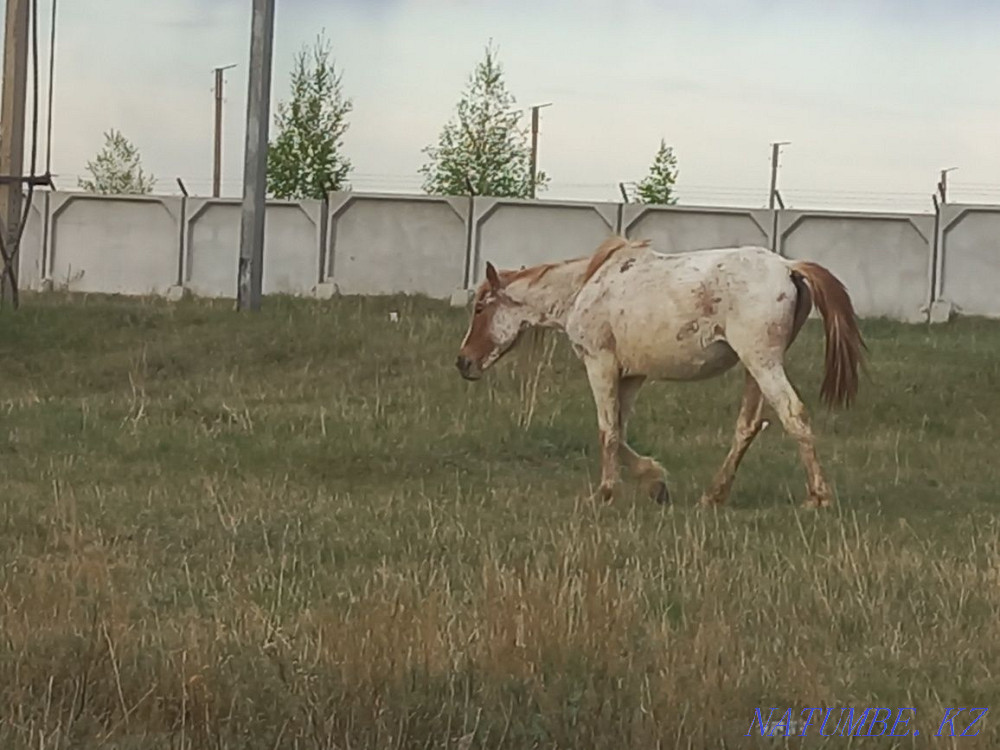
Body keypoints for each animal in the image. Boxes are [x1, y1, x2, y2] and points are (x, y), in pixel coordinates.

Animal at [455, 236, 866, 509]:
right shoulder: (631, 375)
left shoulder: (600, 363)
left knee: (794, 415)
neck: (585, 288)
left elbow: (607, 431)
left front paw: (605, 493)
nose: (463, 362)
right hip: (755, 367)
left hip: (762, 362)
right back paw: (713, 496)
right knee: (747, 427)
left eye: (480, 307)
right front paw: (655, 484)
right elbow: (620, 432)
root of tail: (788, 268)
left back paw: (818, 498)